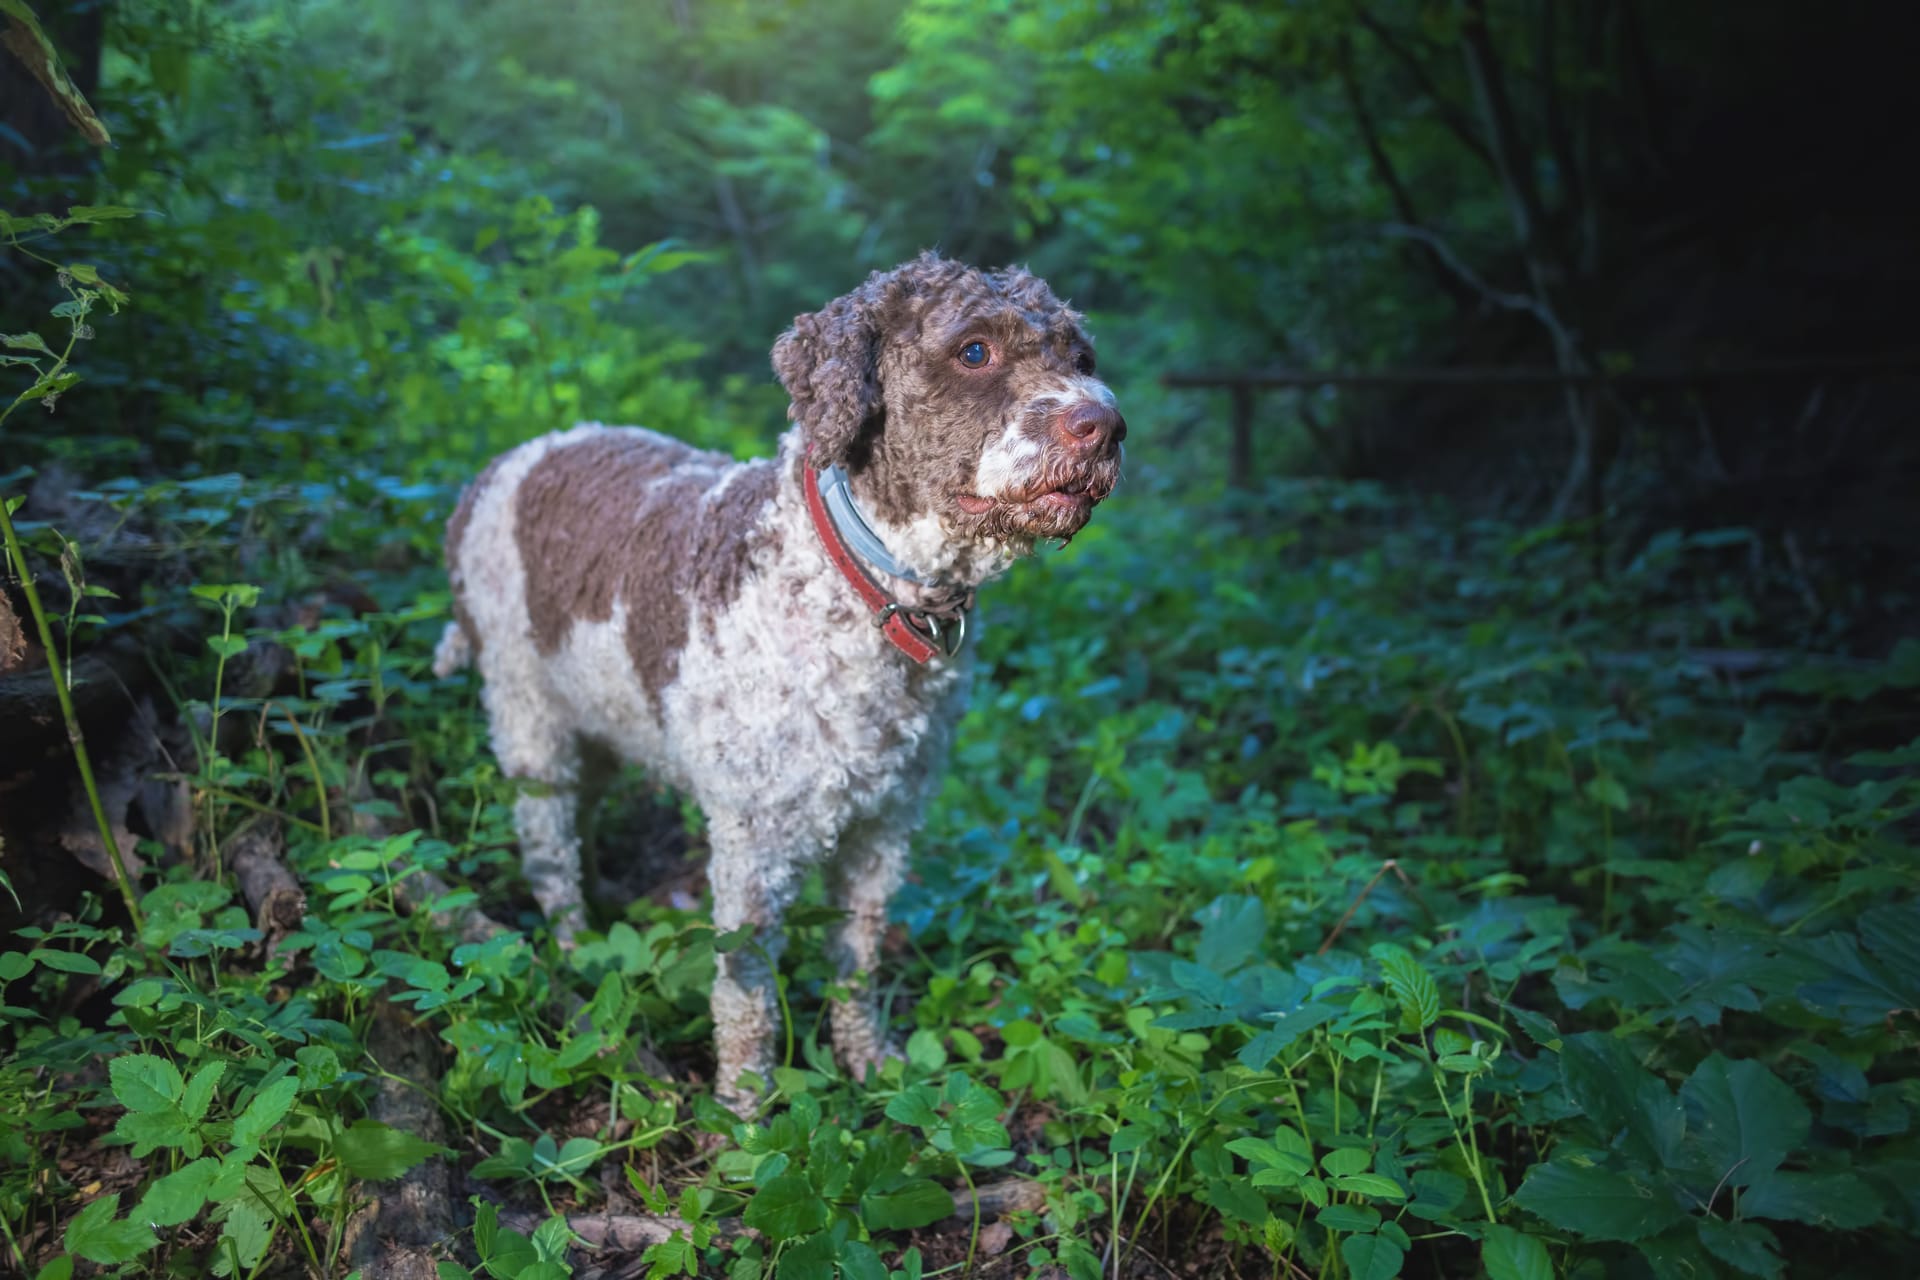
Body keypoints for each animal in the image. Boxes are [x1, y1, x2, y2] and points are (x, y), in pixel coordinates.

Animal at [435, 249, 1121, 1113]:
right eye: (974, 351)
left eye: (1082, 356)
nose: (1106, 425)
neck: (858, 589)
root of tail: (494, 471)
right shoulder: (753, 842)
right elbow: (747, 987)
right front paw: (747, 1109)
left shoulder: (884, 827)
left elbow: (858, 959)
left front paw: (869, 1060)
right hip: (530, 723)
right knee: (547, 850)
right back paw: (575, 946)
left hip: (599, 720)